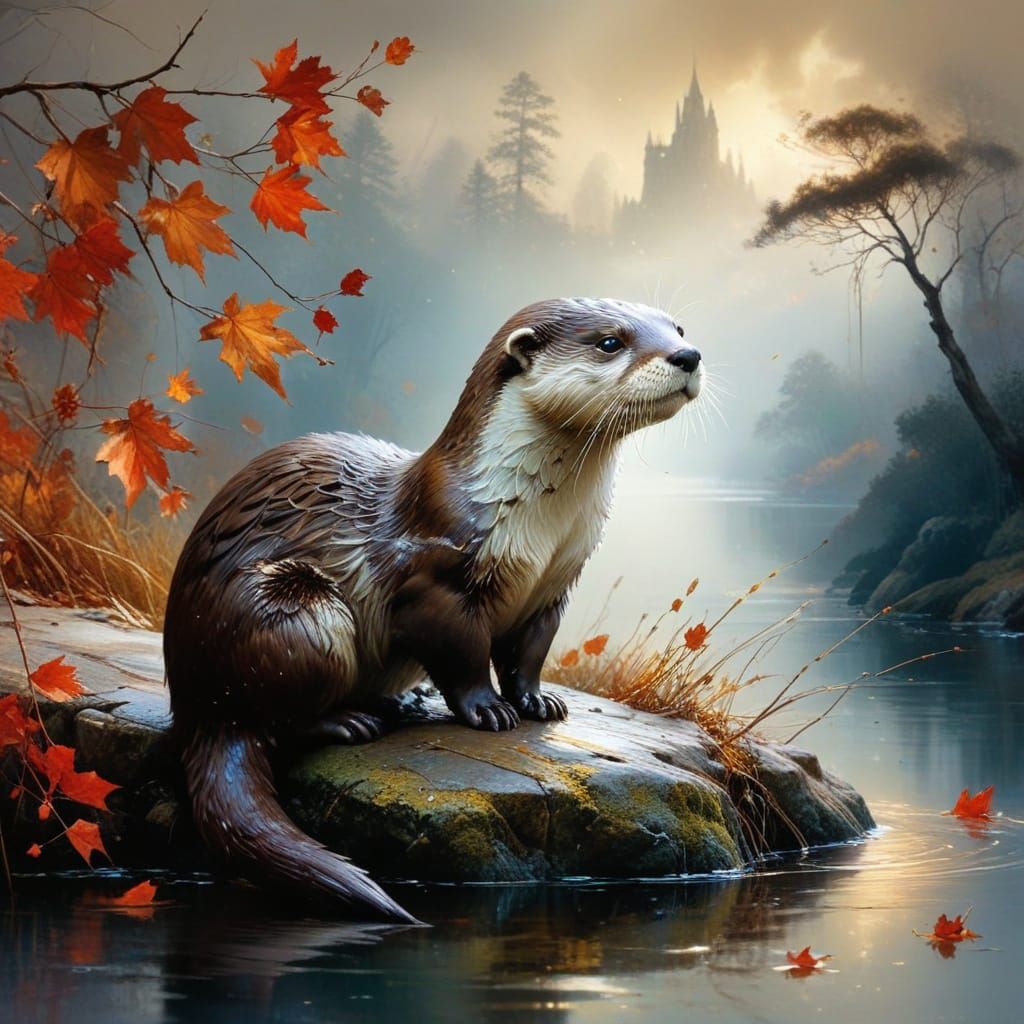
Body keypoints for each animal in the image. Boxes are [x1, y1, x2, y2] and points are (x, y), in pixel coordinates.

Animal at [164, 297, 703, 923]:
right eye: (610, 342)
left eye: (677, 327)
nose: (689, 355)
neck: (542, 528)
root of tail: (196, 700)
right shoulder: (434, 581)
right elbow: (462, 653)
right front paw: (488, 709)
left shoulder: (554, 586)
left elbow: (528, 654)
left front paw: (538, 701)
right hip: (287, 611)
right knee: (271, 715)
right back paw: (349, 721)